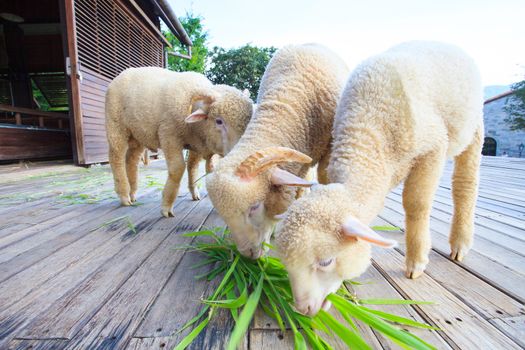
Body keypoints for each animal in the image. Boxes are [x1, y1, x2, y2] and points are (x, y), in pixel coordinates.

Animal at [104, 67, 252, 217]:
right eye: (219, 121)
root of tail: (124, 72)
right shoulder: (169, 135)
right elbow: (178, 168)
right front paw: (166, 206)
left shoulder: (198, 144)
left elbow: (196, 167)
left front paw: (197, 193)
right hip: (116, 126)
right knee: (116, 158)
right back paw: (124, 195)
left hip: (138, 135)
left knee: (131, 161)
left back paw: (132, 193)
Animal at [274, 41, 484, 318]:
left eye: (326, 261)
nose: (304, 309)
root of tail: (446, 44)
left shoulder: (433, 148)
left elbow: (417, 204)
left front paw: (417, 261)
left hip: (474, 127)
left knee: (465, 183)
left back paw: (460, 242)